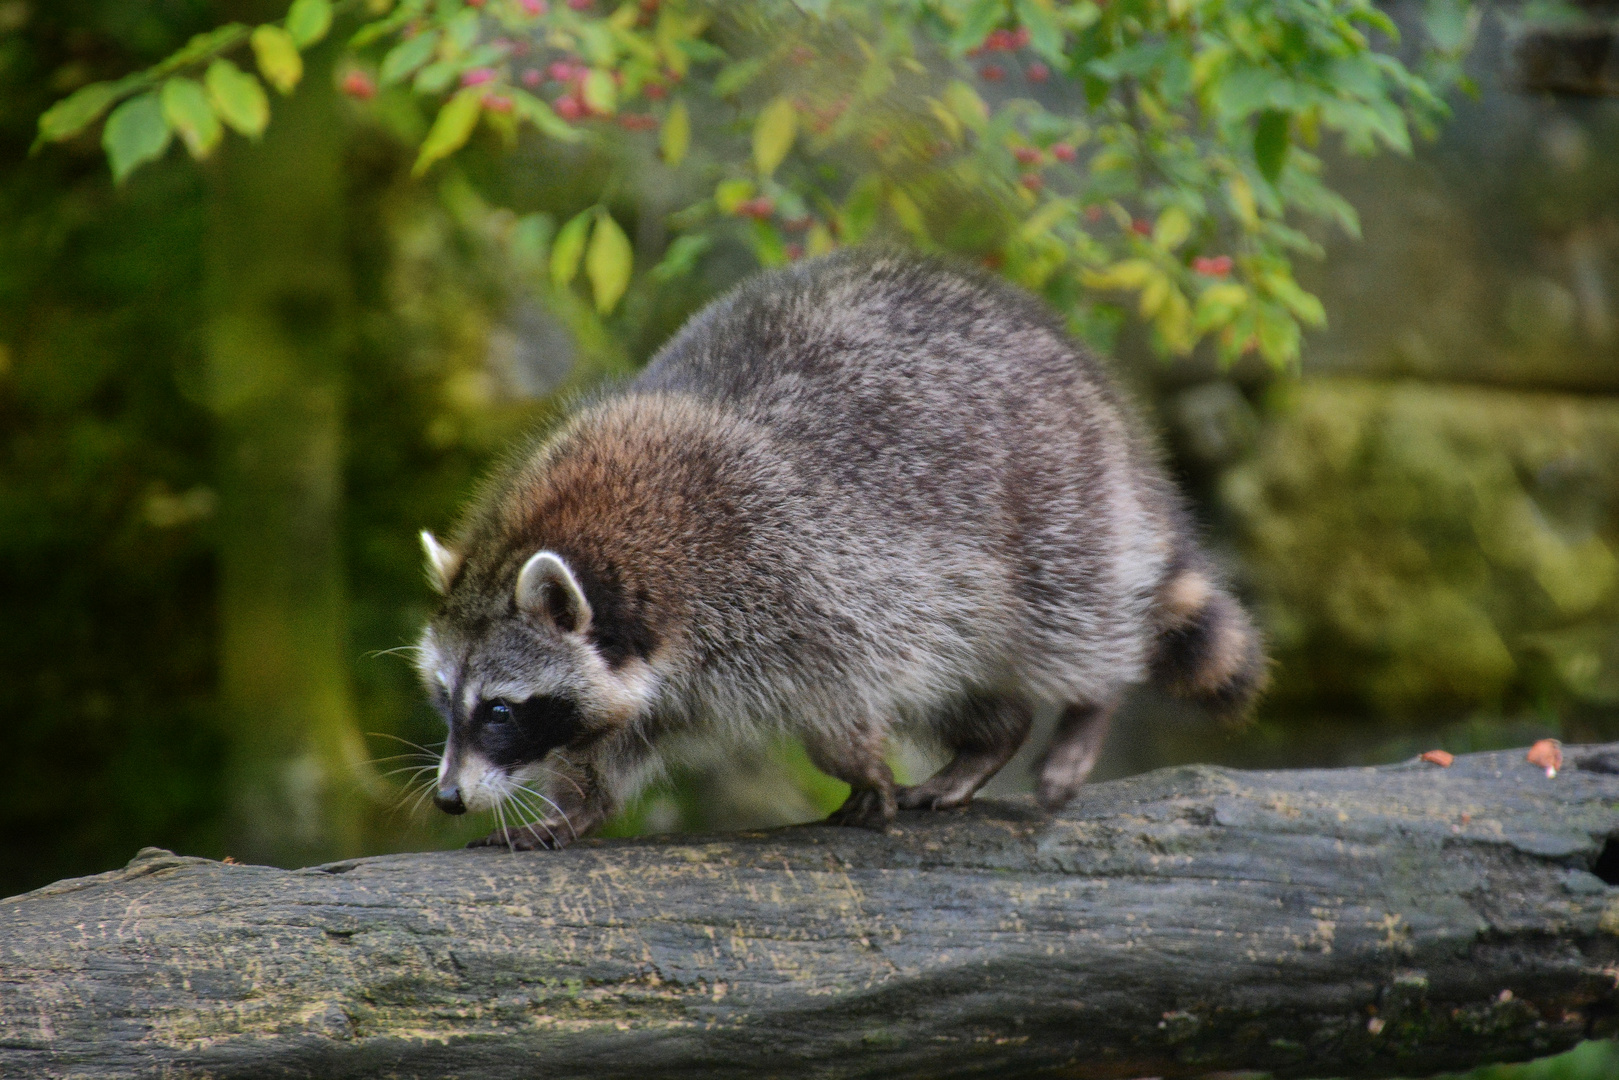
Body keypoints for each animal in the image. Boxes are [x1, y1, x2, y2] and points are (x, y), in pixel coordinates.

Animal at [414, 249, 1262, 848]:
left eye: (499, 710)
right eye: (444, 699)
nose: (448, 797)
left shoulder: (791, 572)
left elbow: (842, 691)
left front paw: (855, 761)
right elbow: (613, 739)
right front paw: (578, 804)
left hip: (1052, 504)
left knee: (1069, 619)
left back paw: (1084, 707)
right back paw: (993, 735)